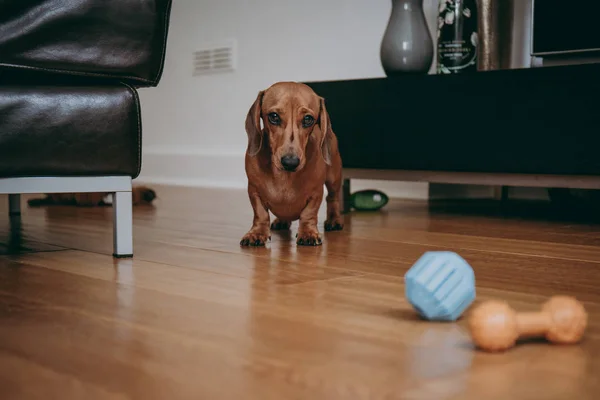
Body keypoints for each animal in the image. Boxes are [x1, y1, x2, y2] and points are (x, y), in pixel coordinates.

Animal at [239, 81, 342, 245]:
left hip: (334, 178)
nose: (290, 162)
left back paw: (334, 220)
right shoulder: (254, 190)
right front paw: (257, 233)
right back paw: (281, 221)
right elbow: (260, 213)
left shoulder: (316, 193)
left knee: (333, 198)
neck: (284, 176)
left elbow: (308, 213)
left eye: (308, 119)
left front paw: (308, 232)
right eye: (274, 116)